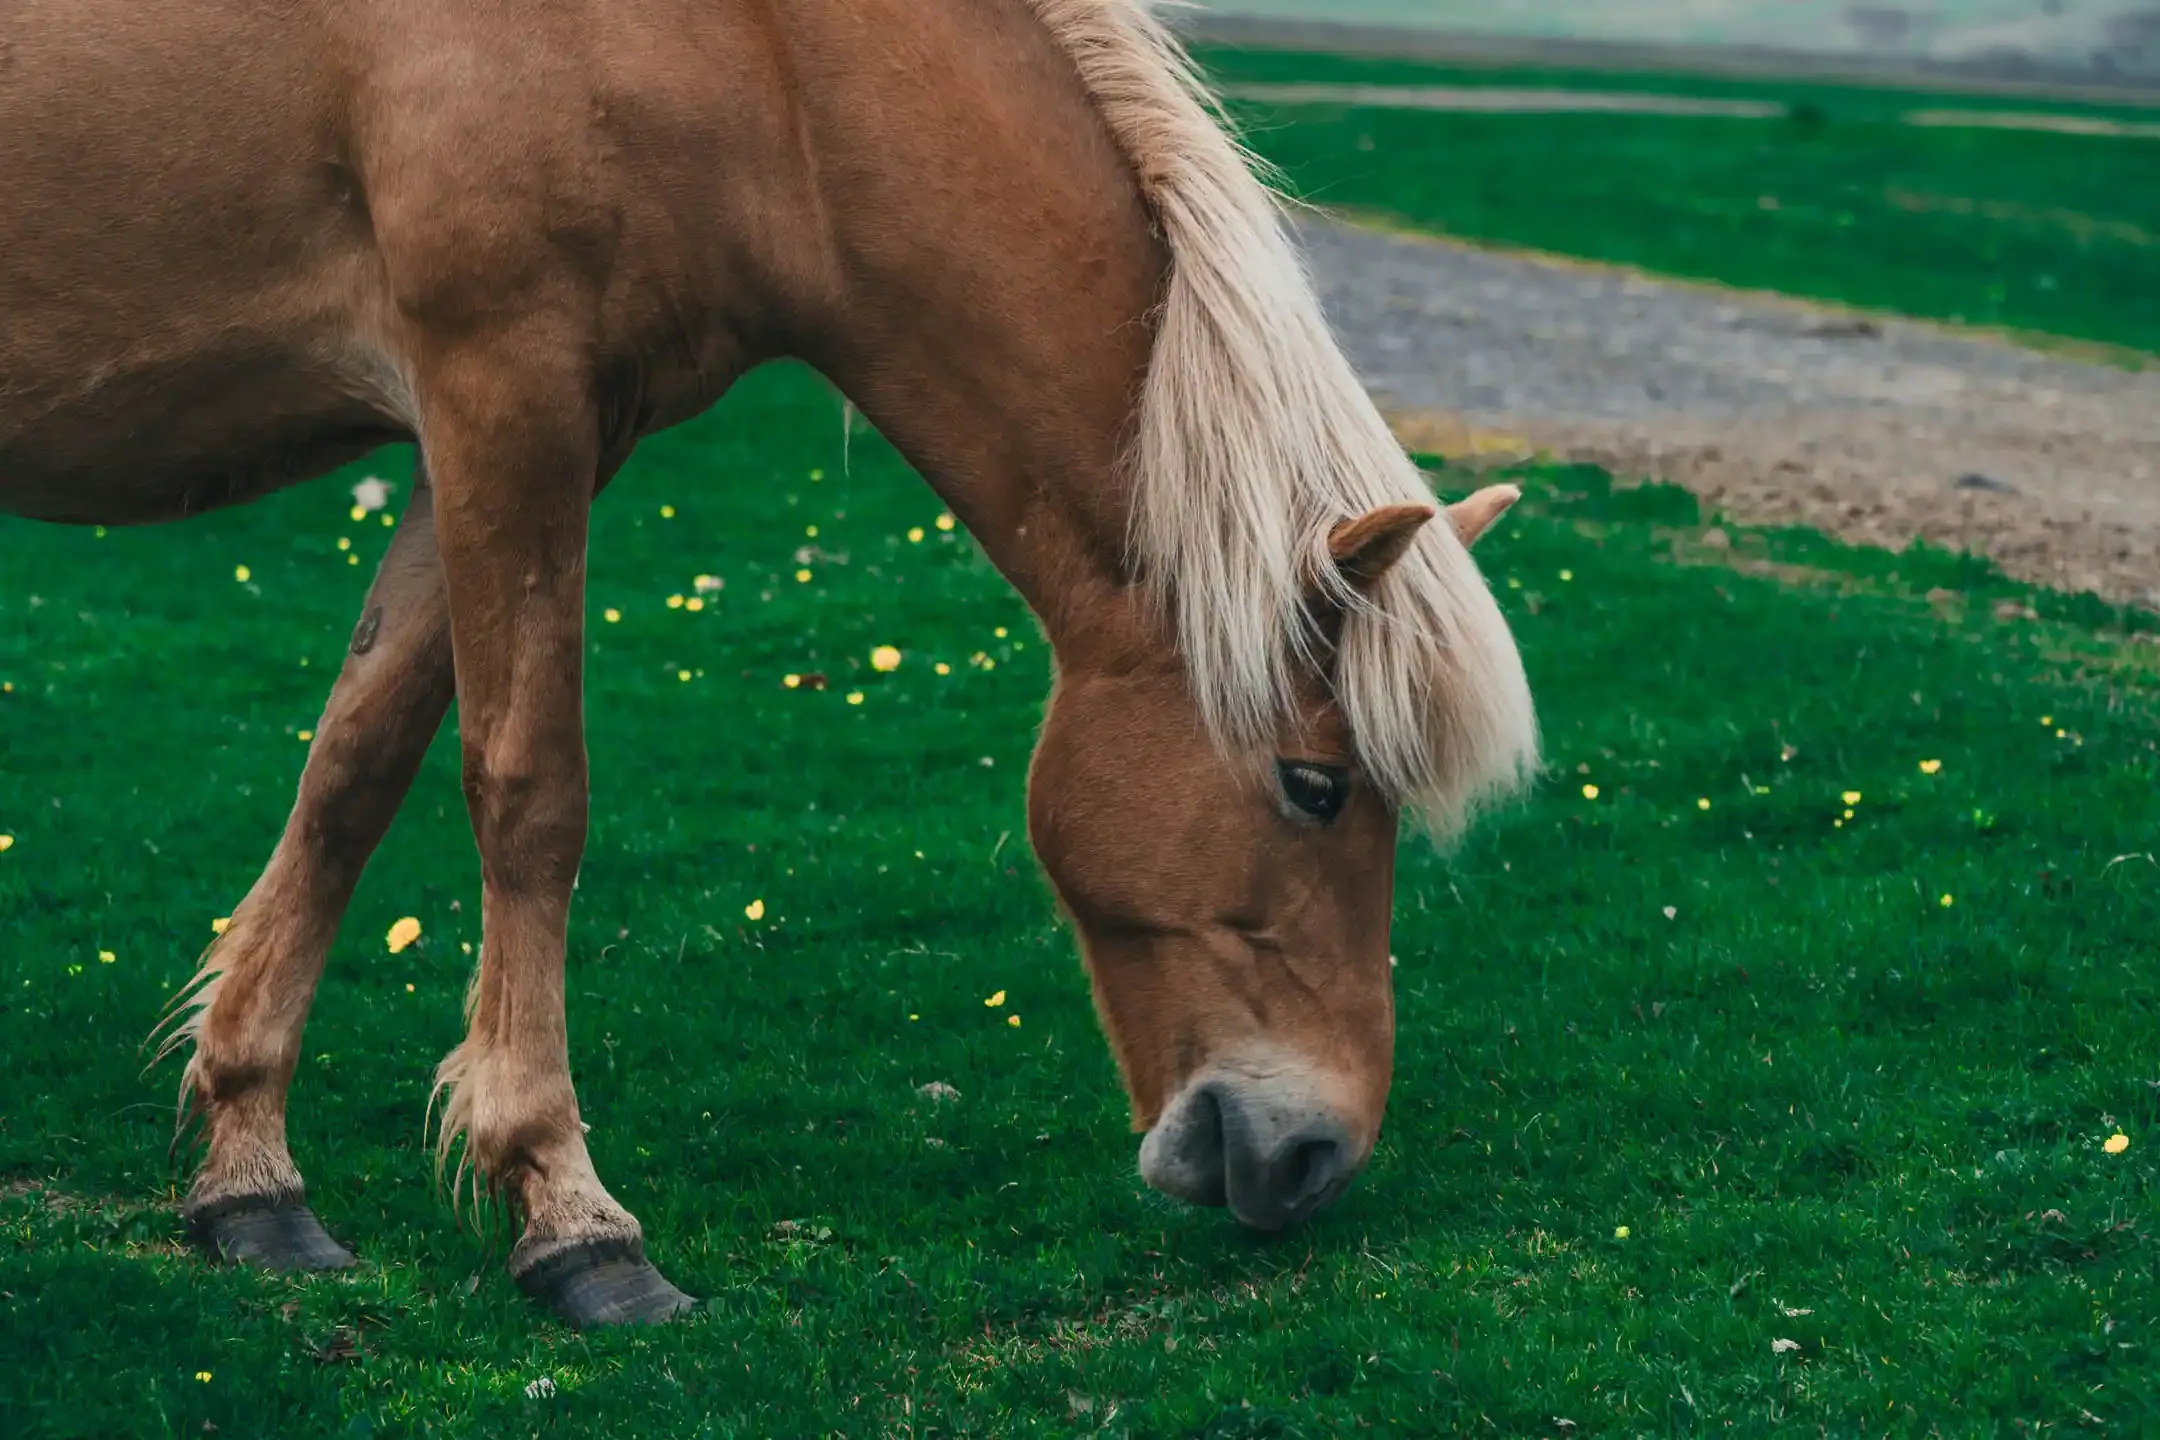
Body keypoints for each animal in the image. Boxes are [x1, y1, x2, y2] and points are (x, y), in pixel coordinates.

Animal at [0, 0, 1536, 1326]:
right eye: (1314, 786)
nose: (1319, 1156)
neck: (761, 53)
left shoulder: (516, 437)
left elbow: (354, 773)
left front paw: (248, 1169)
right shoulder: (506, 389)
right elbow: (531, 792)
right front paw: (567, 1214)